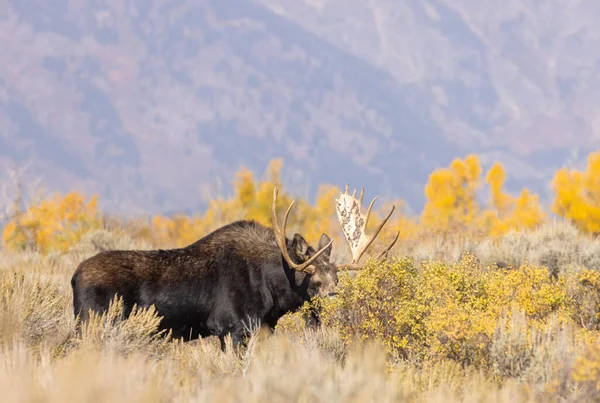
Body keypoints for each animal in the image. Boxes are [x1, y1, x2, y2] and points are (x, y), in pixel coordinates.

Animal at [70, 185, 398, 350]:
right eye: (313, 279)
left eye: (337, 279)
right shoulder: (233, 328)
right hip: (92, 324)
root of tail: (73, 278)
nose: (334, 303)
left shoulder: (261, 328)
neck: (274, 293)